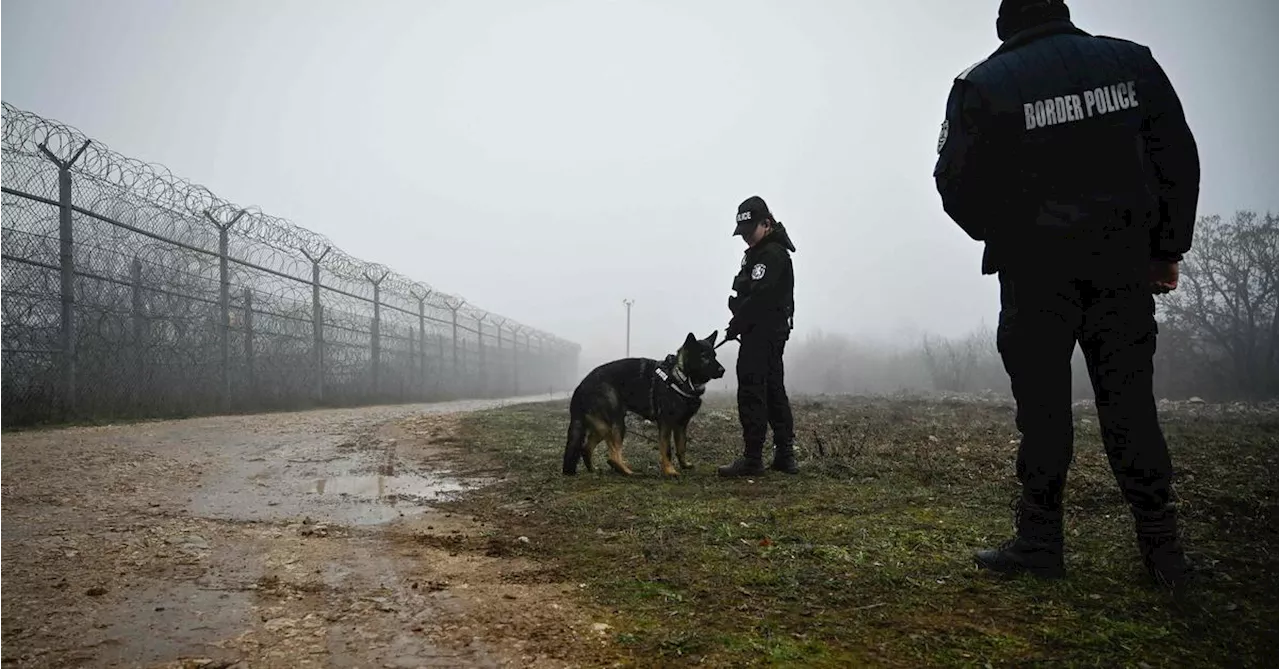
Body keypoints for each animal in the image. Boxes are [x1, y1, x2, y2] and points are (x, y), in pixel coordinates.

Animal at [563, 332, 727, 478]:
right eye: (704, 356)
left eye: (714, 355)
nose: (722, 370)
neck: (681, 376)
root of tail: (580, 387)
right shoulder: (666, 424)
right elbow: (667, 450)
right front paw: (670, 471)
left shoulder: (681, 425)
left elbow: (682, 447)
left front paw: (684, 465)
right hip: (615, 424)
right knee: (612, 456)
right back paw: (627, 472)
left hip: (602, 427)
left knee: (586, 448)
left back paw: (594, 470)